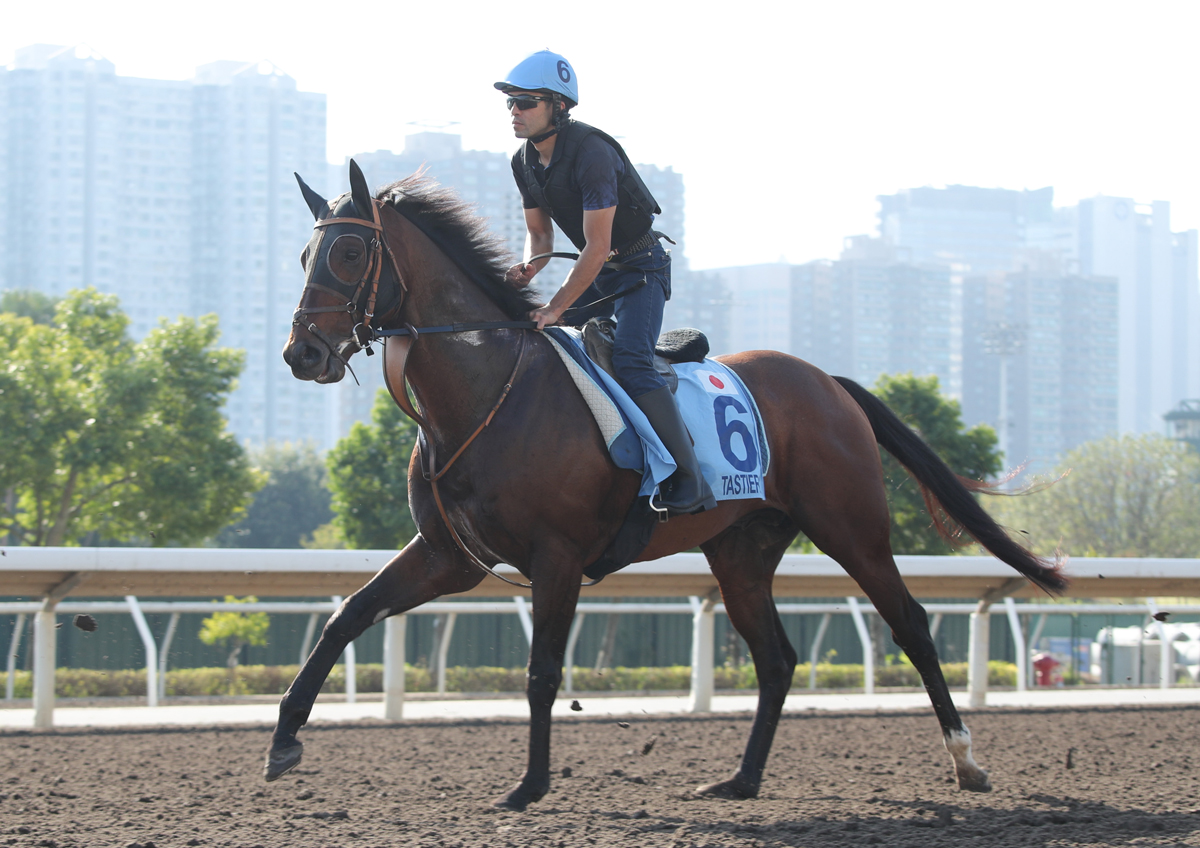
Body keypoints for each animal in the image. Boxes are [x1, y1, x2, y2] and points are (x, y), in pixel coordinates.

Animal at [274, 163, 1070, 810]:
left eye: (350, 252)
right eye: (306, 254)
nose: (302, 353)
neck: (485, 393)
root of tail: (829, 382)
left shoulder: (556, 558)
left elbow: (541, 671)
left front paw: (529, 785)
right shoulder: (450, 557)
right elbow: (347, 616)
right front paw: (284, 739)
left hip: (853, 528)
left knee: (909, 624)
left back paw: (966, 762)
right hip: (742, 548)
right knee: (776, 658)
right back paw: (741, 780)